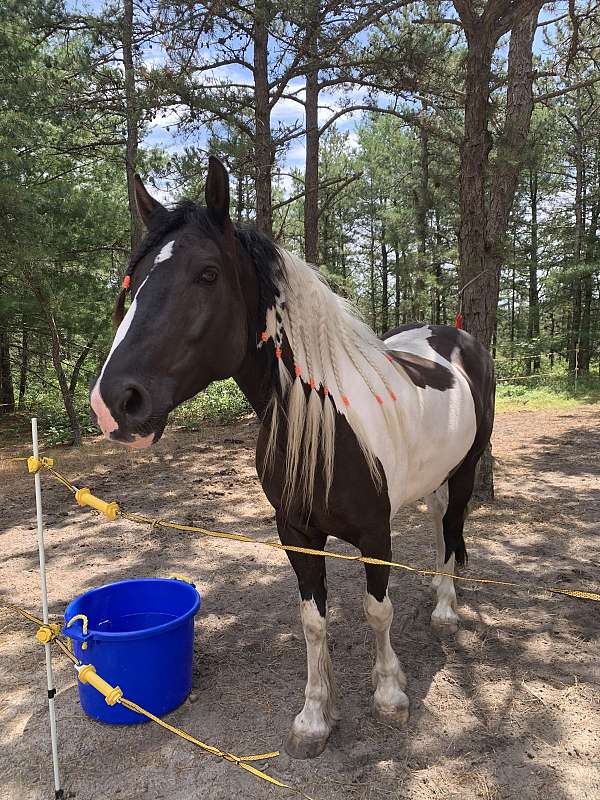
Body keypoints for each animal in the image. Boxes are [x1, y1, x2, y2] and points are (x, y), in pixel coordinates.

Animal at [88, 158, 492, 764]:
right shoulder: (296, 534)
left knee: (454, 522)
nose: (114, 402)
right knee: (440, 520)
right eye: (131, 284)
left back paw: (446, 609)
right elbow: (312, 623)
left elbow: (376, 610)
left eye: (207, 274)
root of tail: (455, 337)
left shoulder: (375, 533)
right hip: (433, 475)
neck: (325, 419)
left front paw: (390, 694)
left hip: (466, 468)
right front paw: (314, 718)